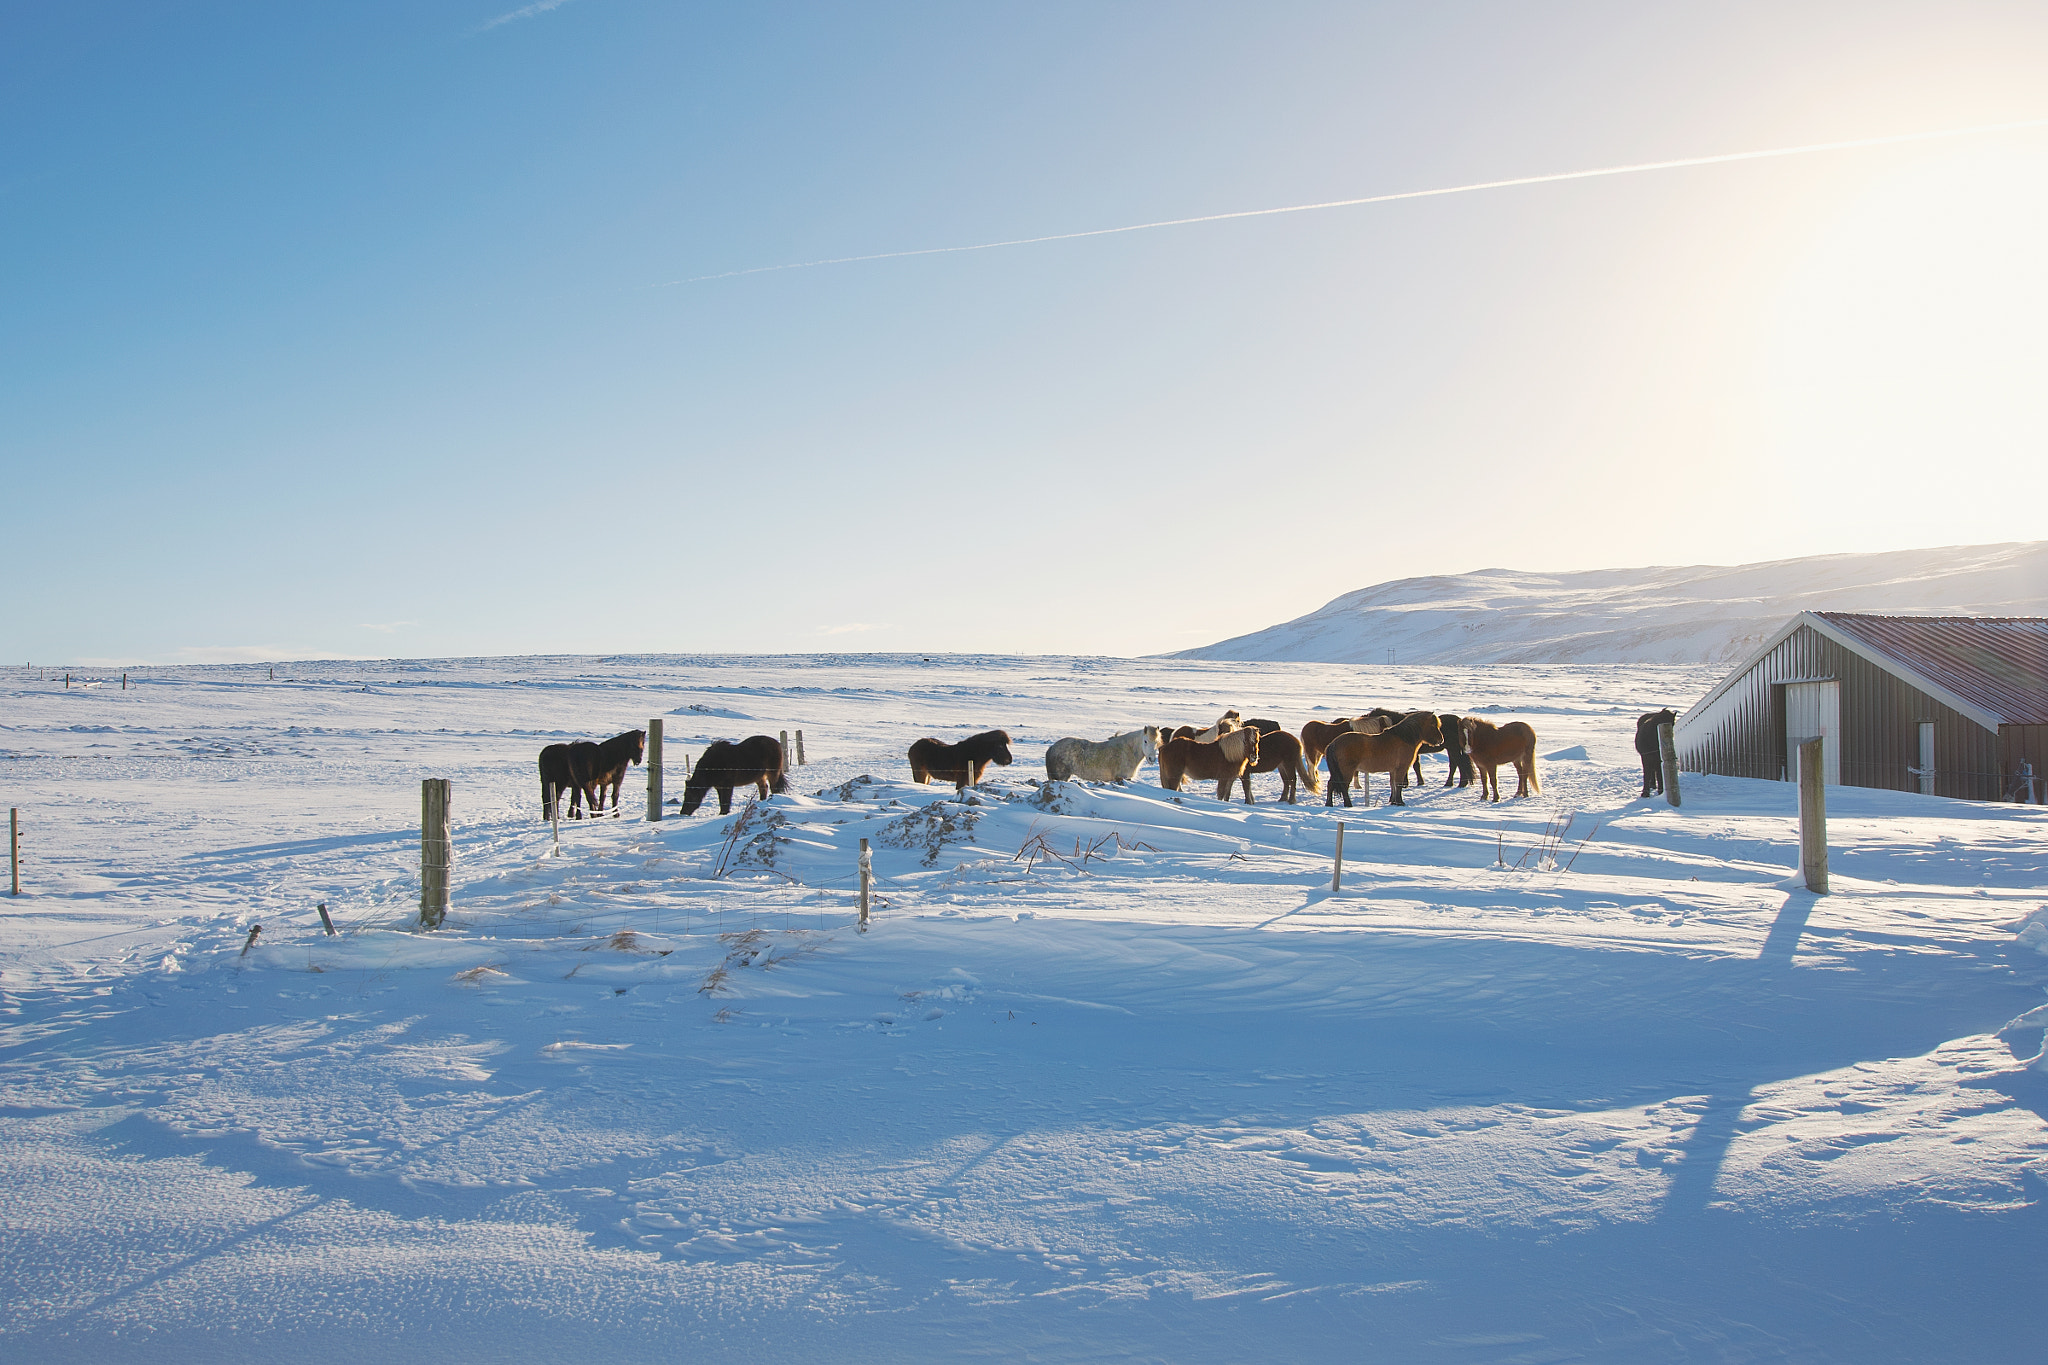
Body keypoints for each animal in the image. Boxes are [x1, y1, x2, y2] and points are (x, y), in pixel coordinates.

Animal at [1318, 712, 1449, 806]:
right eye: (1433, 725)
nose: (1441, 740)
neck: (1404, 738)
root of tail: (1333, 743)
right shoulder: (1401, 768)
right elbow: (1398, 785)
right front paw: (1400, 802)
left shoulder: (1393, 770)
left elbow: (1393, 785)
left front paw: (1393, 801)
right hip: (1346, 771)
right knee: (1343, 786)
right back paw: (1348, 805)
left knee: (1331, 784)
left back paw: (1329, 804)